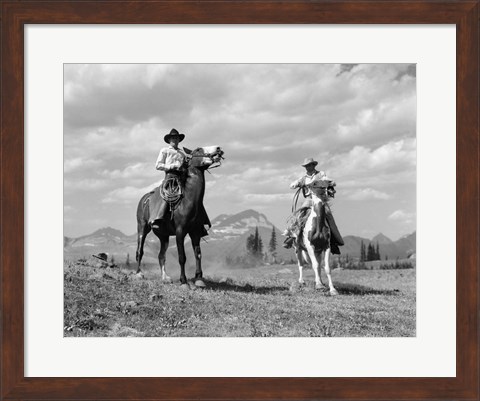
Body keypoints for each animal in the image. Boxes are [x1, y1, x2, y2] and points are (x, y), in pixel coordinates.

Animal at [136, 146, 224, 288]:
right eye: (198, 149)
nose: (218, 149)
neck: (187, 201)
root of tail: (144, 199)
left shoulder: (195, 232)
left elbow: (198, 254)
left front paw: (199, 279)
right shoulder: (180, 231)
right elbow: (182, 257)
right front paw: (184, 281)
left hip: (164, 236)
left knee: (161, 256)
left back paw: (165, 278)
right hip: (142, 228)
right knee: (140, 251)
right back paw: (139, 274)